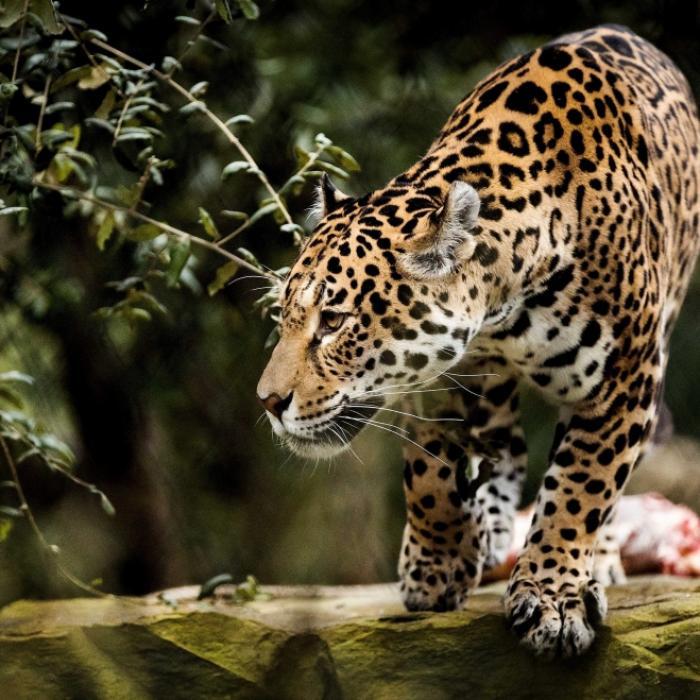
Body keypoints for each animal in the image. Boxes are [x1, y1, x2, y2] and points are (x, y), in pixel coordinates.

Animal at [256, 25, 700, 658]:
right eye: (284, 315)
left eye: (334, 321)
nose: (268, 402)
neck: (503, 307)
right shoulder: (434, 376)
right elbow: (428, 470)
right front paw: (438, 564)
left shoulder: (627, 377)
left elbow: (581, 485)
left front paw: (554, 598)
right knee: (503, 446)